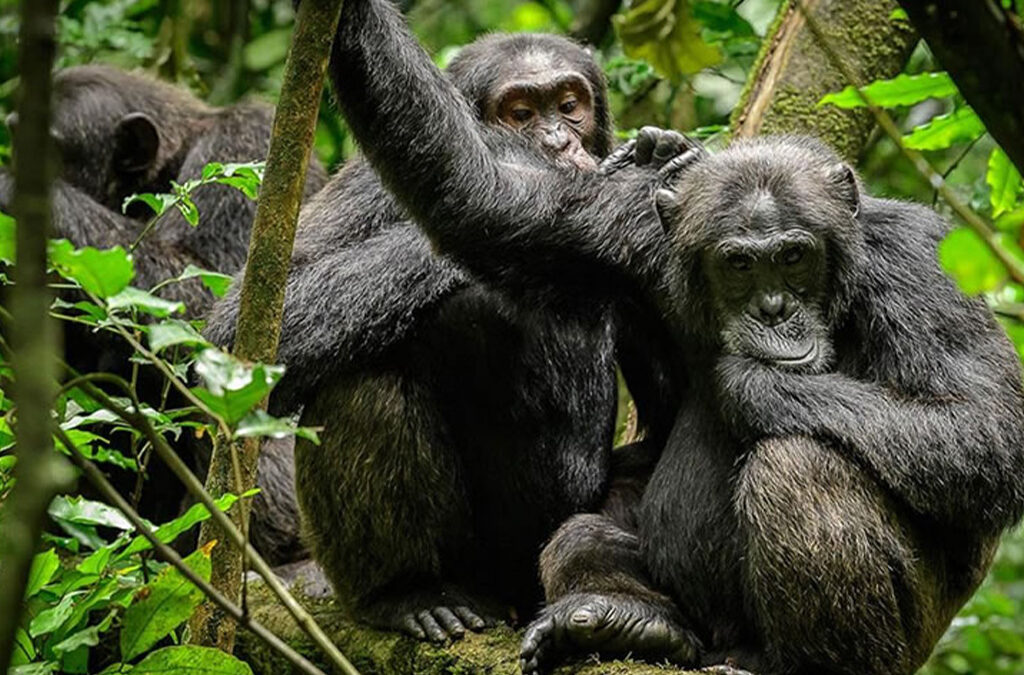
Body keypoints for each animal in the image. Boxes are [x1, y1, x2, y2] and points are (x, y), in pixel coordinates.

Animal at [307, 1, 1024, 672]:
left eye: (794, 256)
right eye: (739, 264)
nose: (774, 310)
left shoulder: (921, 268)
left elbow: (982, 429)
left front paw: (749, 382)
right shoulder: (632, 231)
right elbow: (485, 195)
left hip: (909, 637)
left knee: (800, 466)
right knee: (579, 533)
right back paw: (615, 618)